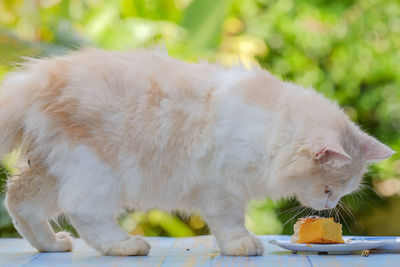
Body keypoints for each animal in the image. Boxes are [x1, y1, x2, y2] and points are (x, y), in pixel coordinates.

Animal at [0, 48, 394, 258]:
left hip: (53, 169)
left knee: (19, 200)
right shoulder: (222, 186)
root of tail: (35, 80)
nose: (329, 206)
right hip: (97, 171)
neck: (272, 130)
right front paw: (242, 244)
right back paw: (126, 246)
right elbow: (230, 222)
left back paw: (51, 245)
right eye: (327, 189)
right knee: (84, 213)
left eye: (338, 193)